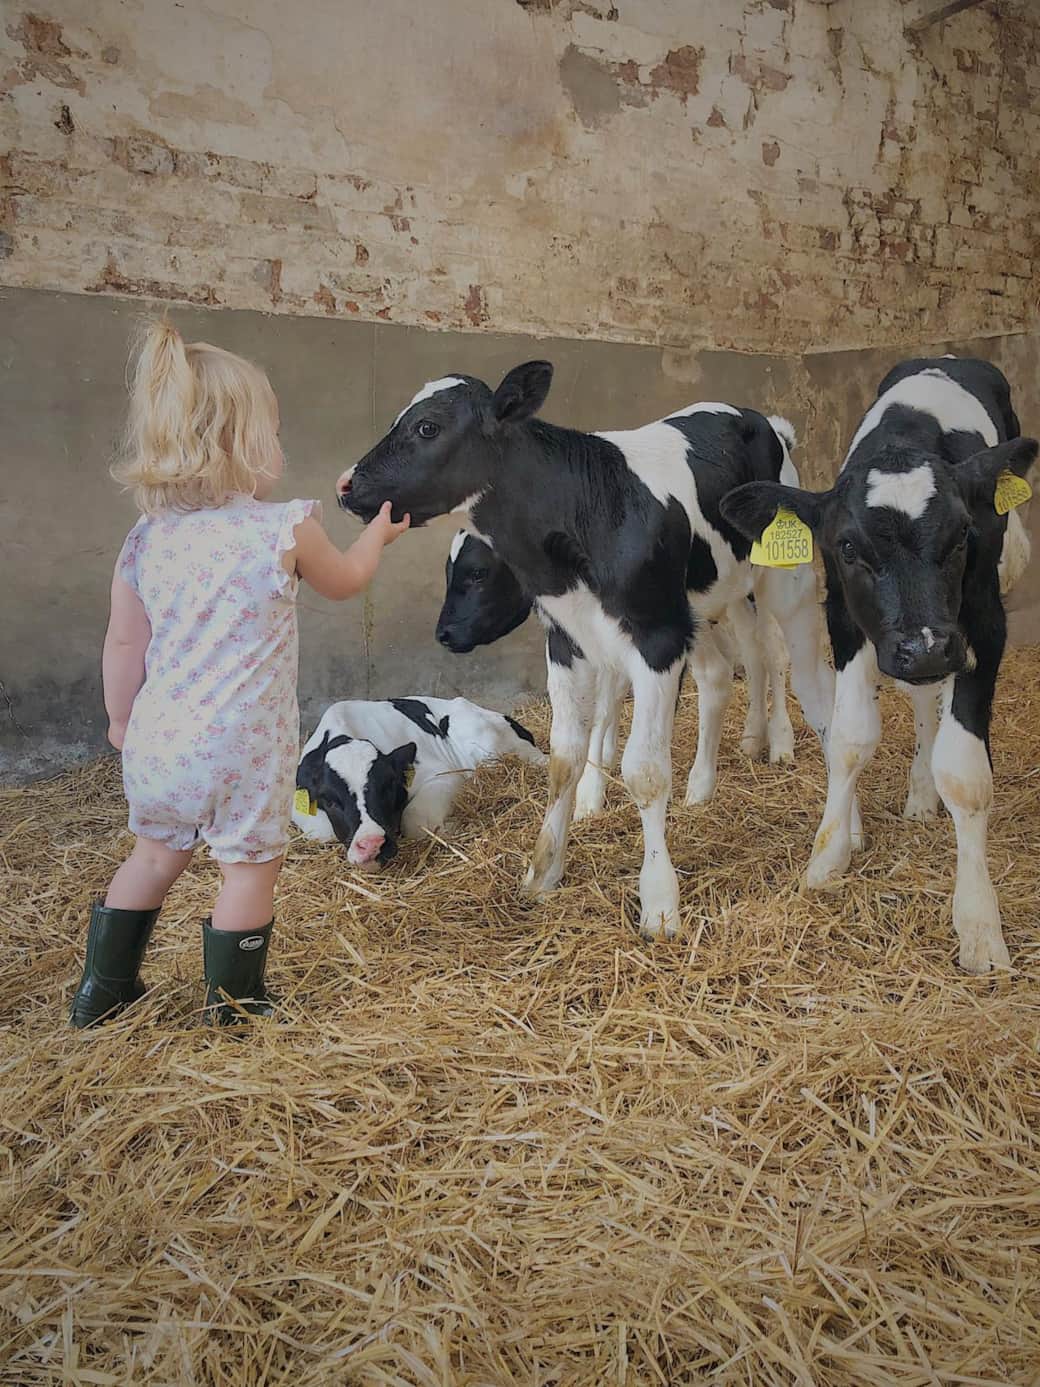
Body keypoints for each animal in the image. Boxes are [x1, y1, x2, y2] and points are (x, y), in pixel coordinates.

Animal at [292, 696, 545, 867]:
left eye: (387, 788)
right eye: (330, 801)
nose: (373, 844)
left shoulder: (441, 773)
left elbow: (415, 819)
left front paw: (452, 827)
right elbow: (321, 831)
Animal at [338, 364, 833, 939]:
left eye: (426, 427)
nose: (345, 484)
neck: (584, 514)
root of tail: (766, 421)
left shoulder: (656, 639)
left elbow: (645, 771)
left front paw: (659, 902)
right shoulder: (570, 640)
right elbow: (566, 757)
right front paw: (543, 870)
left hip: (779, 580)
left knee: (774, 657)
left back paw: (782, 746)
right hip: (703, 603)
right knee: (719, 672)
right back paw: (704, 785)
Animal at [721, 356, 1036, 973]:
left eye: (963, 534)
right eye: (847, 547)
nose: (925, 648)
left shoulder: (982, 624)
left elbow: (965, 773)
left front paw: (978, 922)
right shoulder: (846, 618)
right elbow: (849, 737)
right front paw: (829, 856)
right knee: (922, 698)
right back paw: (919, 791)